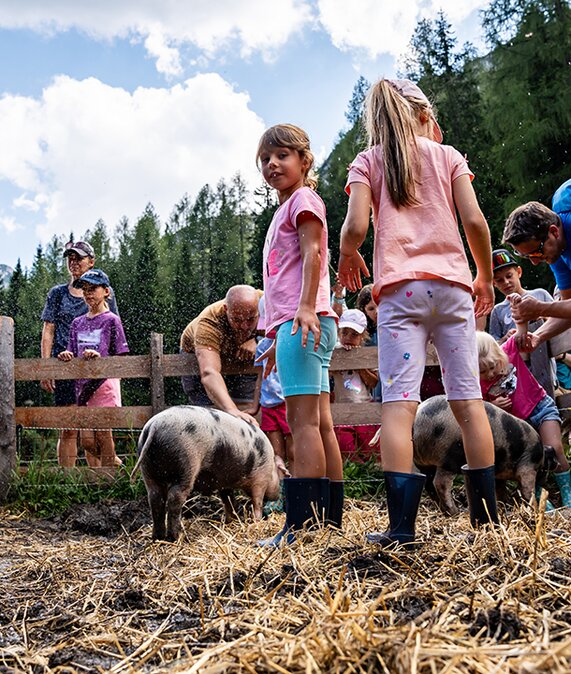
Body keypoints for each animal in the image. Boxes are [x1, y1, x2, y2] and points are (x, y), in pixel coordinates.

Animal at [132, 404, 288, 540]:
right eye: (278, 475)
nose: (276, 495)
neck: (270, 466)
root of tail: (155, 425)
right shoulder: (259, 480)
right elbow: (257, 502)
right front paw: (257, 521)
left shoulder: (225, 483)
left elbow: (228, 500)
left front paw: (231, 520)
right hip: (186, 465)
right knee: (175, 498)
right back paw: (176, 537)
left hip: (148, 470)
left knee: (155, 498)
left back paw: (157, 538)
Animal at [412, 394, 548, 516]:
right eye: (544, 470)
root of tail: (419, 417)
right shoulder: (528, 465)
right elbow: (527, 488)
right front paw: (534, 509)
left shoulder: (499, 473)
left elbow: (500, 489)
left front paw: (506, 505)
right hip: (448, 457)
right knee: (440, 483)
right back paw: (455, 512)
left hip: (423, 463)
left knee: (429, 484)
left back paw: (442, 509)